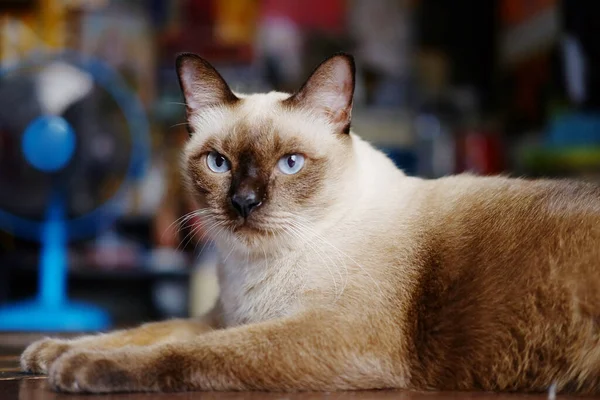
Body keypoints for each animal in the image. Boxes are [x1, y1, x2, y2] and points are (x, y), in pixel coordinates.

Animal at [21, 52, 600, 394]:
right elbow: (140, 331)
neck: (254, 269)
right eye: (219, 163)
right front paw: (51, 352)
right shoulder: (225, 318)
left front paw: (78, 368)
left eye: (291, 164)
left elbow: (182, 354)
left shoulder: (327, 332)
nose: (244, 202)